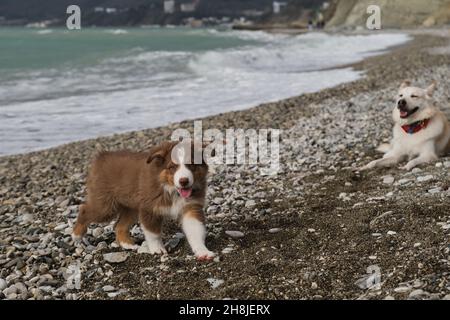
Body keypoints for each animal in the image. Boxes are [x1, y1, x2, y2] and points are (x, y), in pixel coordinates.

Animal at [72, 141, 216, 262]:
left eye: (192, 166)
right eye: (172, 167)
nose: (184, 181)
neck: (171, 190)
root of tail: (102, 155)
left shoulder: (191, 207)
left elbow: (195, 230)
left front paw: (202, 251)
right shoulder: (149, 208)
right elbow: (153, 233)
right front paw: (157, 249)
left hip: (131, 208)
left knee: (119, 225)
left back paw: (127, 244)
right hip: (106, 207)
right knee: (84, 209)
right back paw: (76, 235)